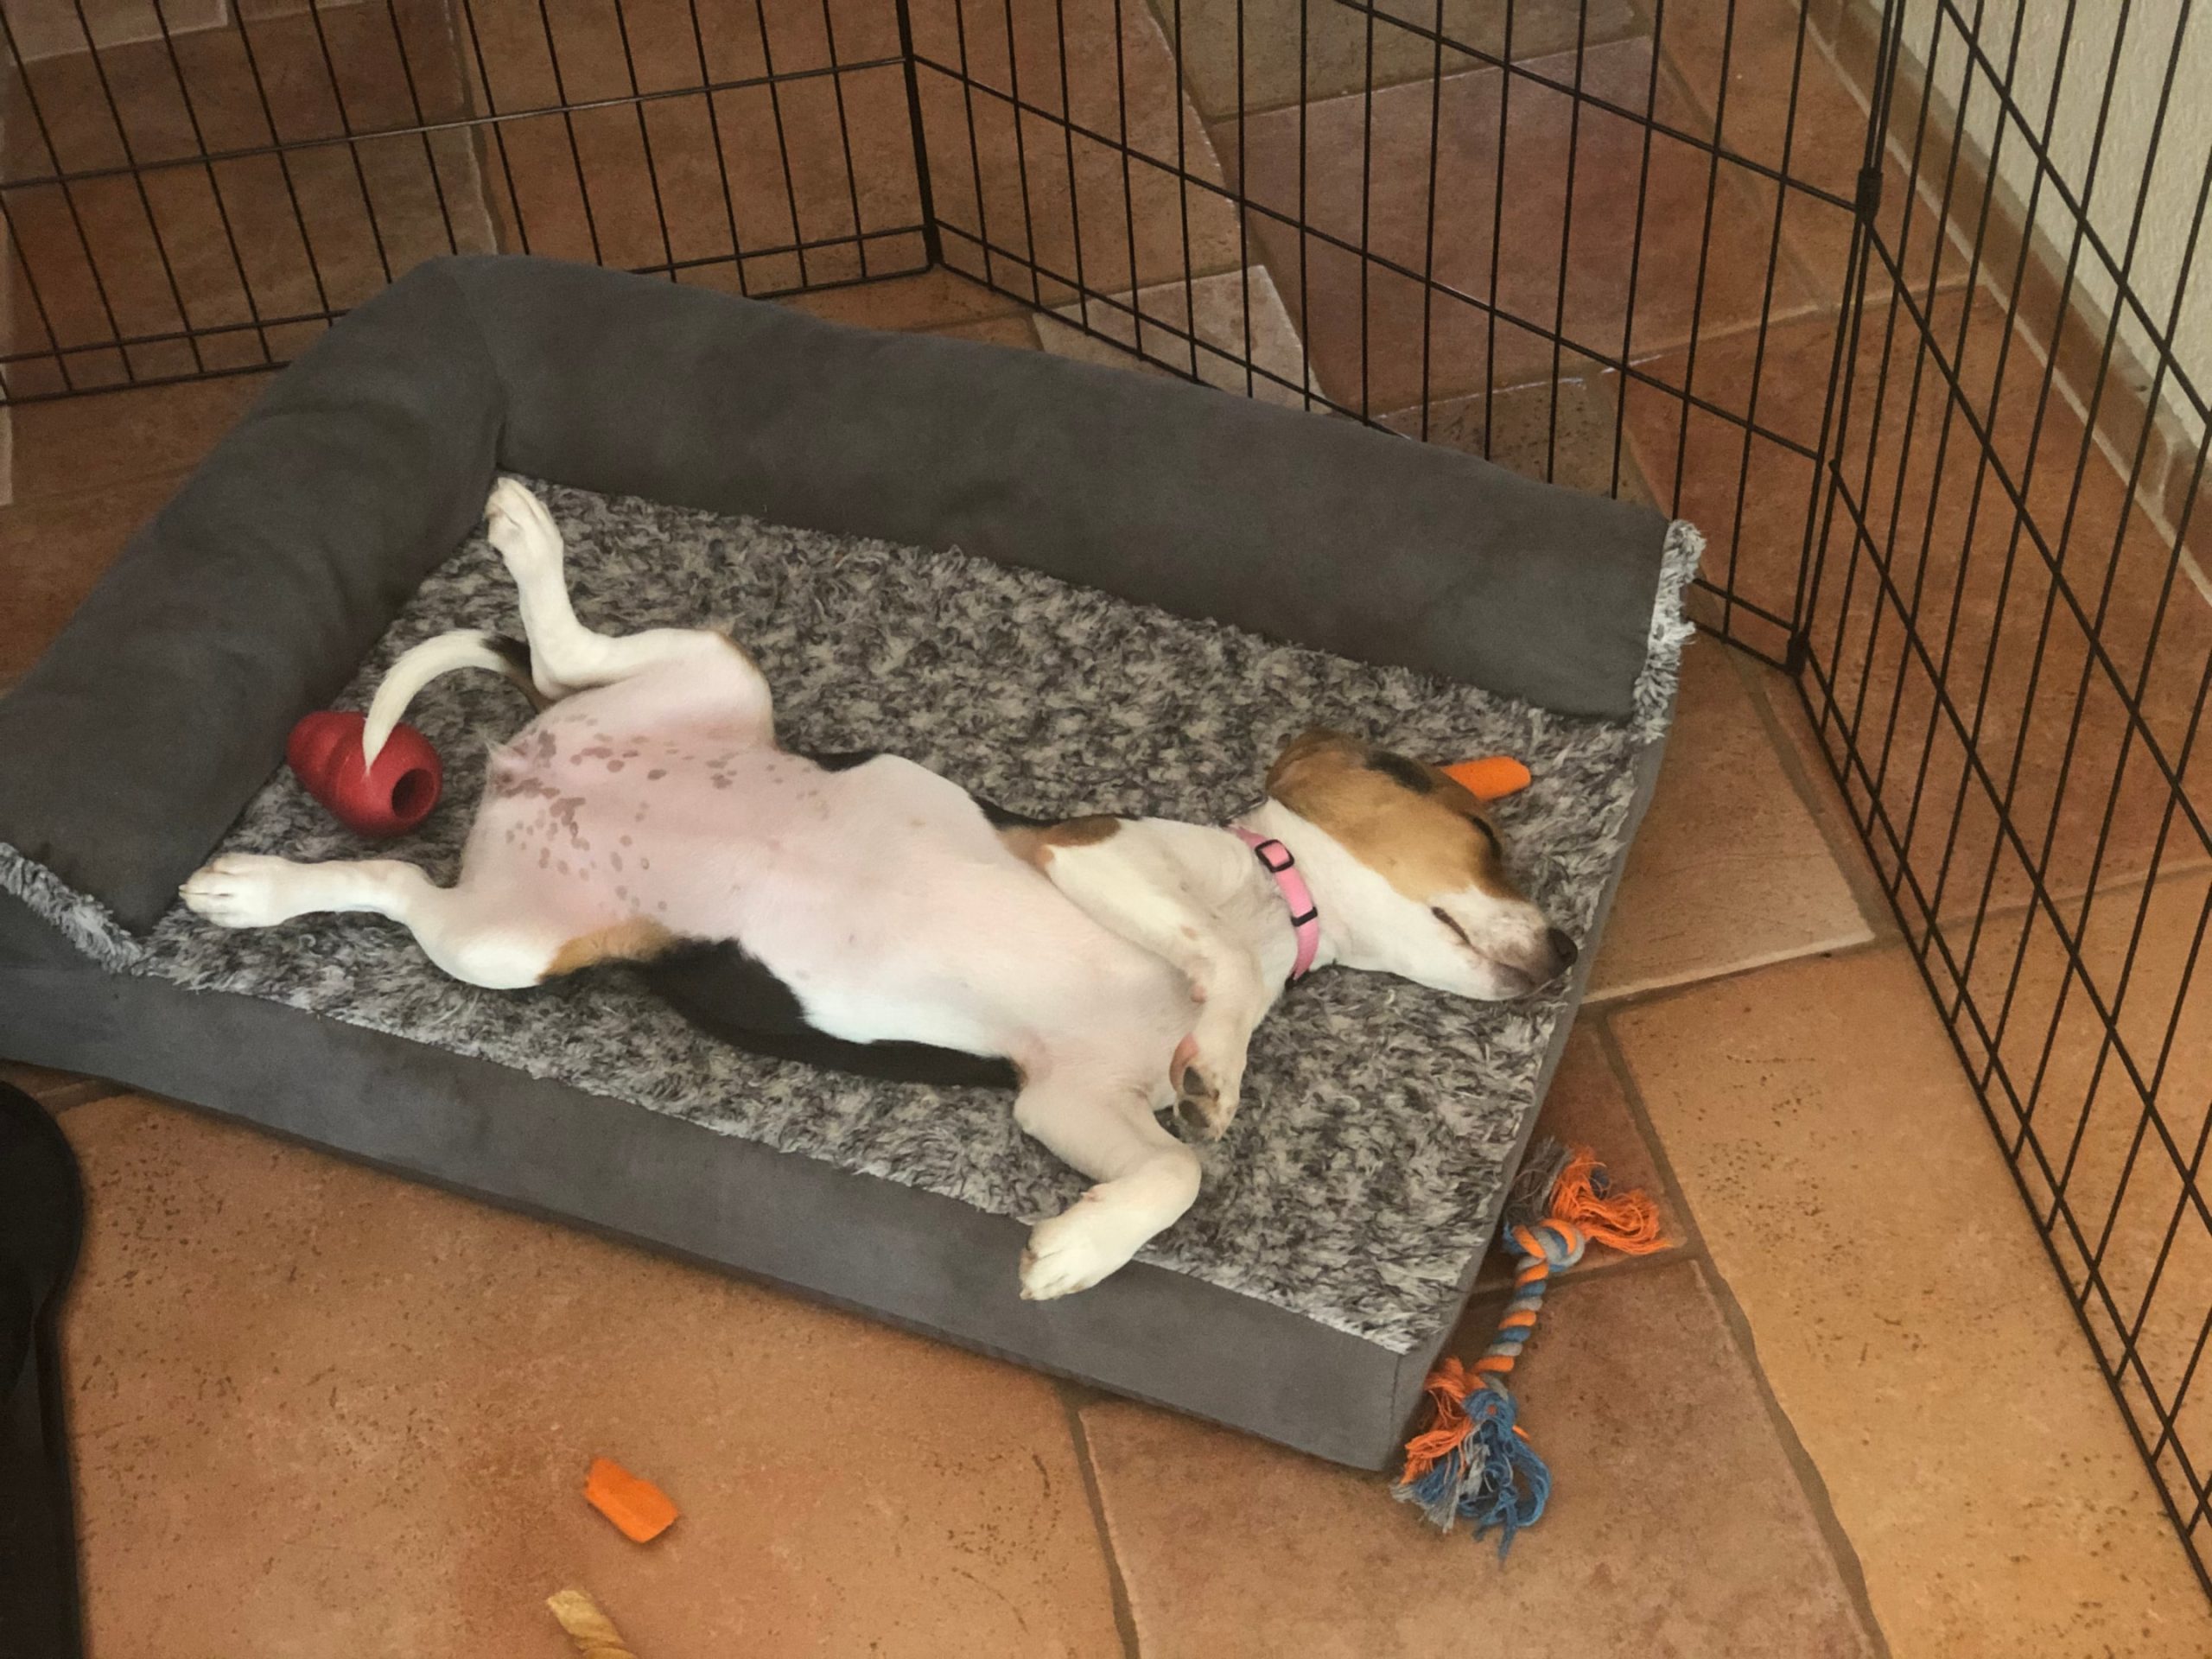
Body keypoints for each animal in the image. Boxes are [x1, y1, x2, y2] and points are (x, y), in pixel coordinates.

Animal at [186, 477, 1574, 1300]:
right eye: (1484, 837)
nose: (1564, 953)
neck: (1276, 902)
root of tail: (529, 770)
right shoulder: (1090, 854)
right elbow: (1213, 989)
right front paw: (1219, 1070)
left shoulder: (1067, 1098)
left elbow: (1168, 1174)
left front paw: (1078, 1246)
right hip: (531, 905)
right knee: (467, 775)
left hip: (535, 902)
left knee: (448, 810)